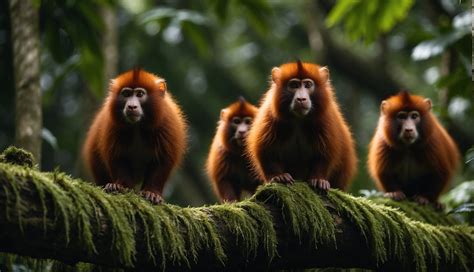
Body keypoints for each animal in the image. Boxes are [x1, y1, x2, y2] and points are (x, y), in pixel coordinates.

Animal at [81, 68, 187, 204]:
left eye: (140, 94)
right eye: (126, 94)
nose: (132, 106)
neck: (137, 126)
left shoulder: (166, 122)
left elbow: (163, 159)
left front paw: (152, 192)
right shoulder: (113, 125)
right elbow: (116, 156)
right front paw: (121, 186)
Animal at [246, 60, 358, 190]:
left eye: (308, 85)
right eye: (294, 85)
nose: (301, 99)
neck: (298, 120)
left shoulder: (325, 120)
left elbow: (325, 154)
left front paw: (319, 179)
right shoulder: (270, 117)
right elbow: (266, 151)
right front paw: (278, 176)